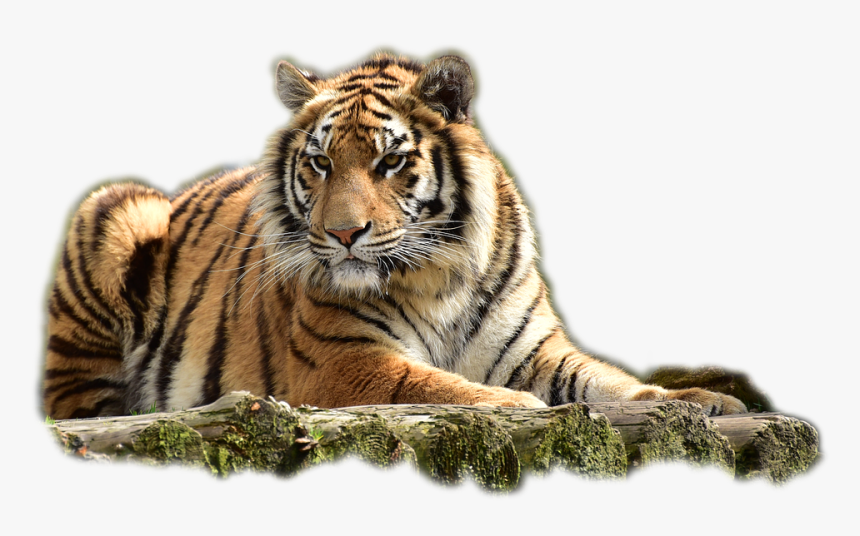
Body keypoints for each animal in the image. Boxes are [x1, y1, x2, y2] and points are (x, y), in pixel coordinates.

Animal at [42, 53, 747, 420]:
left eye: (389, 161)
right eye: (320, 163)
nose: (343, 232)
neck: (442, 278)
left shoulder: (536, 352)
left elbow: (608, 381)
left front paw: (699, 400)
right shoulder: (343, 362)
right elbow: (435, 386)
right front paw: (518, 408)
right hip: (117, 209)